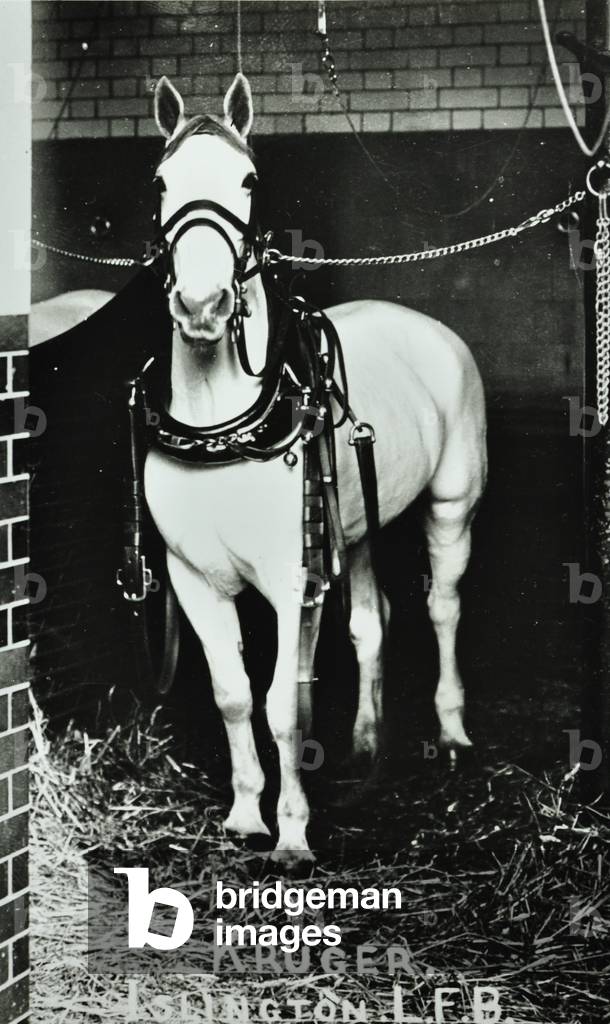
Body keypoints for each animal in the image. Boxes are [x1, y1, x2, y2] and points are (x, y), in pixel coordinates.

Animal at [140, 72, 487, 865]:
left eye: (249, 180)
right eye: (161, 181)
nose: (202, 306)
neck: (222, 422)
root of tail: (432, 332)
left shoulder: (293, 583)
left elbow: (284, 708)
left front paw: (294, 832)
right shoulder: (193, 578)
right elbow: (234, 694)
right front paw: (245, 813)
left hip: (452, 508)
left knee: (442, 606)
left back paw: (452, 729)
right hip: (352, 531)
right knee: (371, 625)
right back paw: (366, 741)